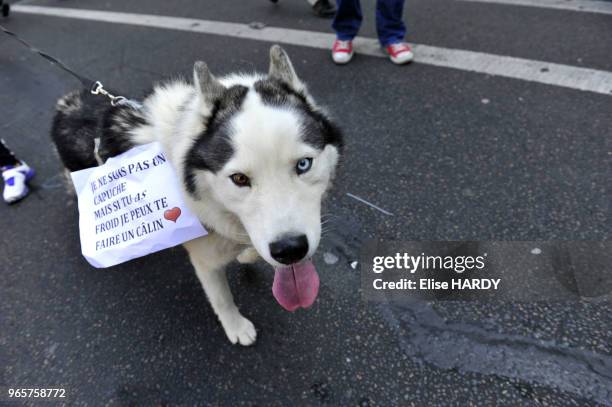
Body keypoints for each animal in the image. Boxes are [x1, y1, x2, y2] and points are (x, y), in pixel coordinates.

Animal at [50, 45, 342, 344]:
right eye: (239, 179)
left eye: (303, 164)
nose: (290, 250)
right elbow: (222, 298)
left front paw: (249, 255)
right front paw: (236, 327)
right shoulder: (206, 260)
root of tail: (66, 102)